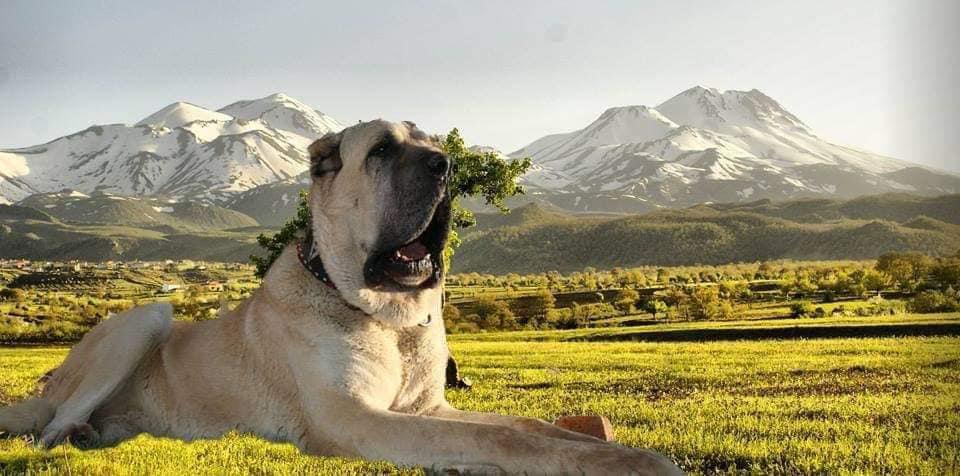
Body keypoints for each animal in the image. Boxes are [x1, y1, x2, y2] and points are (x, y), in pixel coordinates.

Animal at [0, 118, 684, 472]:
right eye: (381, 150)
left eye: (435, 145)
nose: (445, 166)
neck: (387, 318)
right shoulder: (354, 420)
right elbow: (502, 439)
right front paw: (633, 466)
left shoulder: (428, 410)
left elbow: (526, 425)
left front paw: (614, 449)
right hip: (146, 317)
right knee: (47, 431)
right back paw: (76, 435)